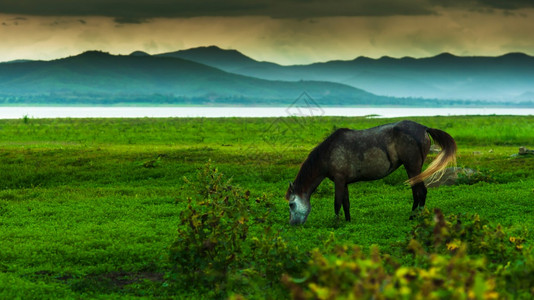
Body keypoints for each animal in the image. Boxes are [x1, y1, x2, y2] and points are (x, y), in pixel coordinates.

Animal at [286, 119, 458, 225]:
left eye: (291, 204)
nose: (293, 224)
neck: (328, 153)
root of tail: (424, 128)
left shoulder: (339, 180)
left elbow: (337, 203)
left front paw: (335, 223)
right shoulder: (344, 182)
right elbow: (346, 203)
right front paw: (347, 222)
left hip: (413, 167)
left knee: (420, 191)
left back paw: (415, 216)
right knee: (416, 192)